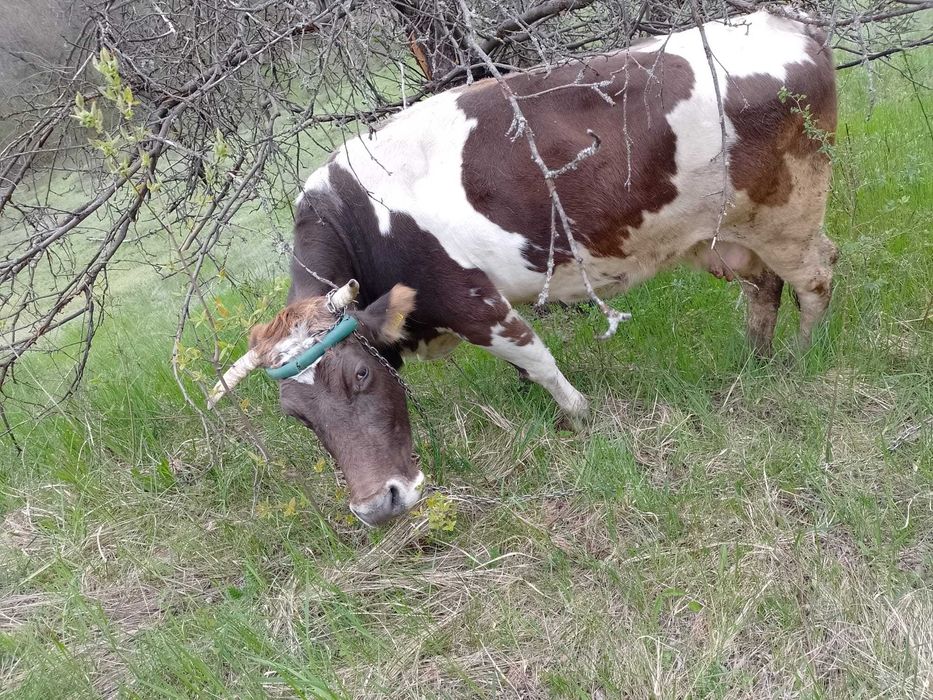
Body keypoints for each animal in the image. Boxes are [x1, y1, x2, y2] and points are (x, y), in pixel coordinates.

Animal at [209, 11, 838, 526]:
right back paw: (755, 360)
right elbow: (523, 366)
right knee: (765, 287)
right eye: (297, 416)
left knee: (817, 275)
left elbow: (535, 357)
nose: (378, 507)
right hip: (727, 234)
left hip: (790, 211)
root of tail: (786, 21)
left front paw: (579, 415)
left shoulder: (470, 300)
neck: (363, 220)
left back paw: (803, 357)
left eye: (360, 375)